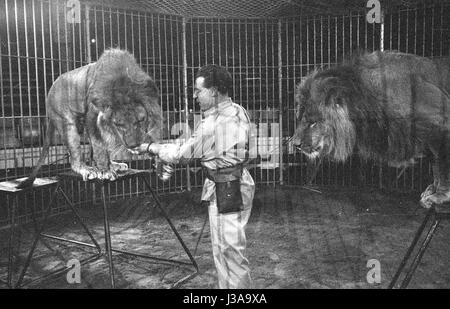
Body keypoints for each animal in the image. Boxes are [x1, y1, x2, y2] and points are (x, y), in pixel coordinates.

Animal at [19, 48, 163, 188]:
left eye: (141, 120)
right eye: (118, 124)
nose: (133, 145)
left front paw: (108, 167)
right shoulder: (92, 117)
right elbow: (99, 146)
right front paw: (105, 171)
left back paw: (114, 165)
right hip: (66, 122)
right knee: (74, 156)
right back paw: (87, 169)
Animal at [290, 50, 448, 208]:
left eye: (313, 122)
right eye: (300, 118)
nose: (295, 144)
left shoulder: (440, 126)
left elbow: (442, 166)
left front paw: (439, 195)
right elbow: (435, 165)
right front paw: (432, 190)